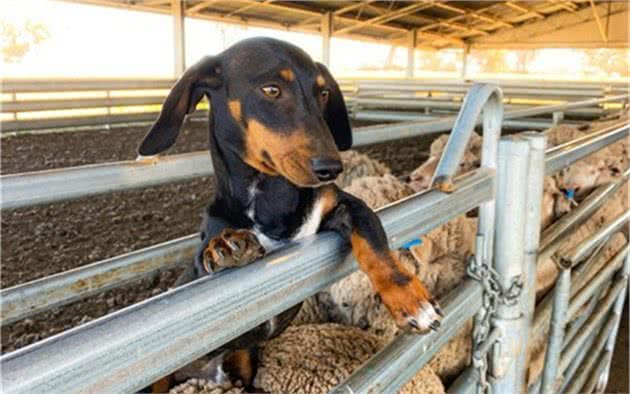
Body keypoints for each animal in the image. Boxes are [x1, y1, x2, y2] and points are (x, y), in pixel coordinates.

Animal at [139, 38, 444, 386]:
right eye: (271, 89)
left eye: (323, 93)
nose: (331, 168)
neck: (272, 199)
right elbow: (208, 260)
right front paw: (226, 248)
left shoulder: (346, 205)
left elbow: (376, 246)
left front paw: (413, 302)